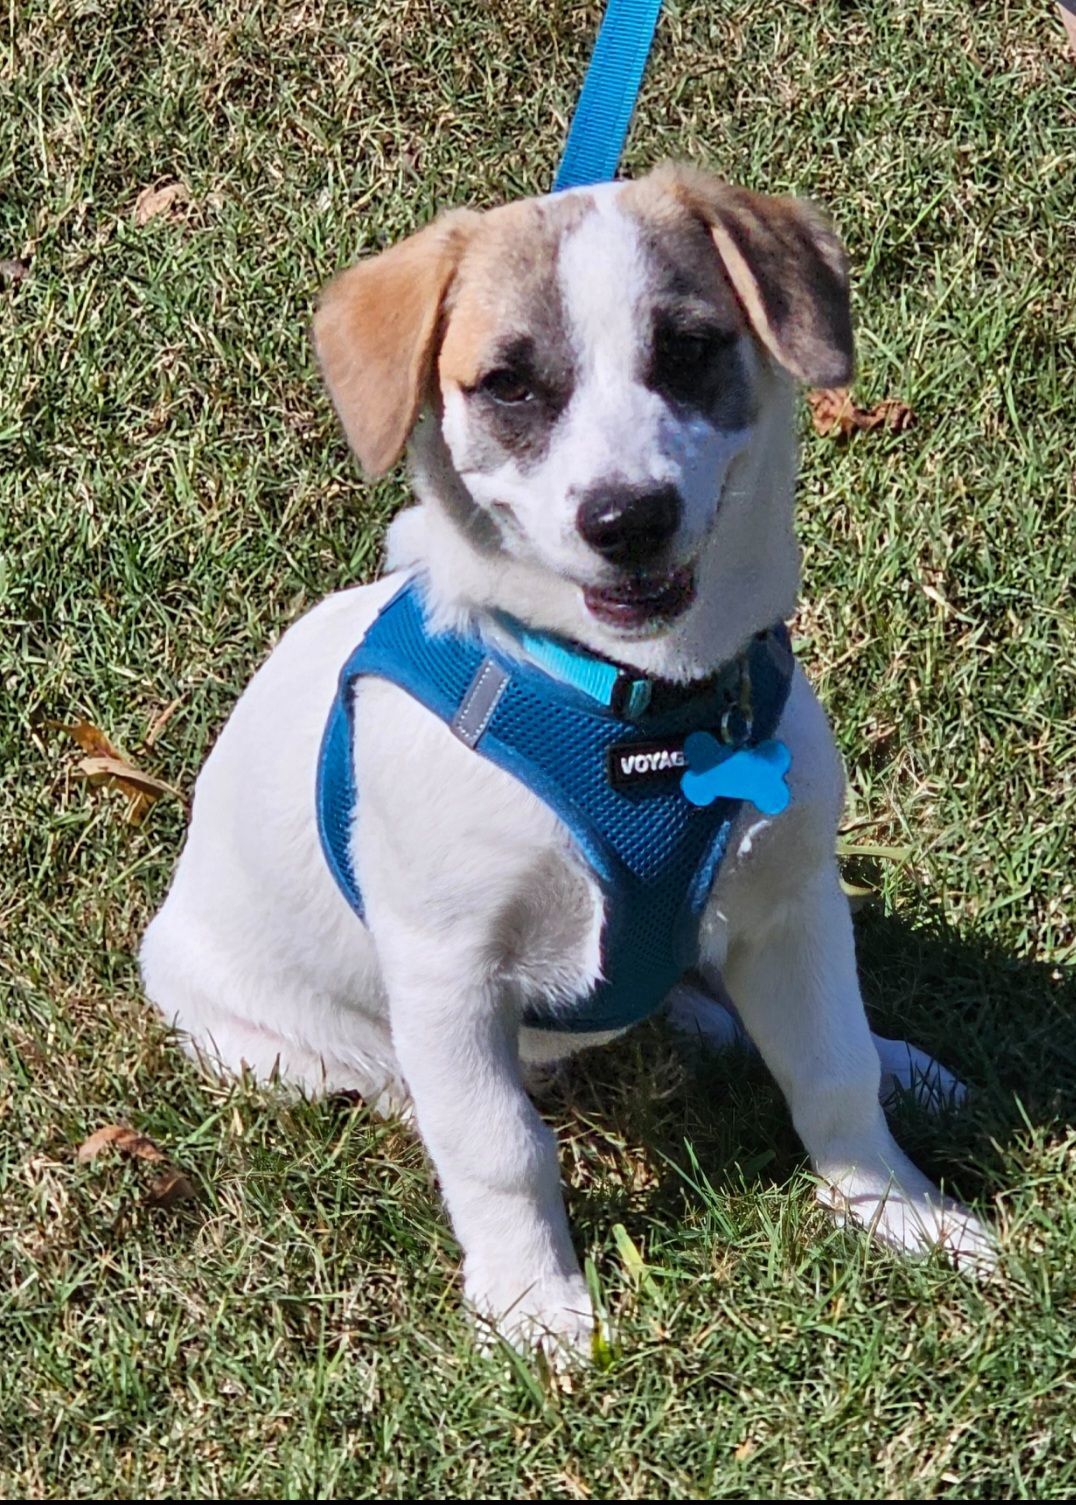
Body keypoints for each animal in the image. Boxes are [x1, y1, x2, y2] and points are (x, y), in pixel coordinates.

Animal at [140, 161, 993, 1354]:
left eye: (687, 348)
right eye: (506, 384)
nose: (626, 518)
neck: (638, 711)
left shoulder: (791, 903)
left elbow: (832, 1066)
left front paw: (897, 1210)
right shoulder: (449, 972)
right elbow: (498, 1143)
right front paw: (530, 1304)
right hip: (262, 1037)